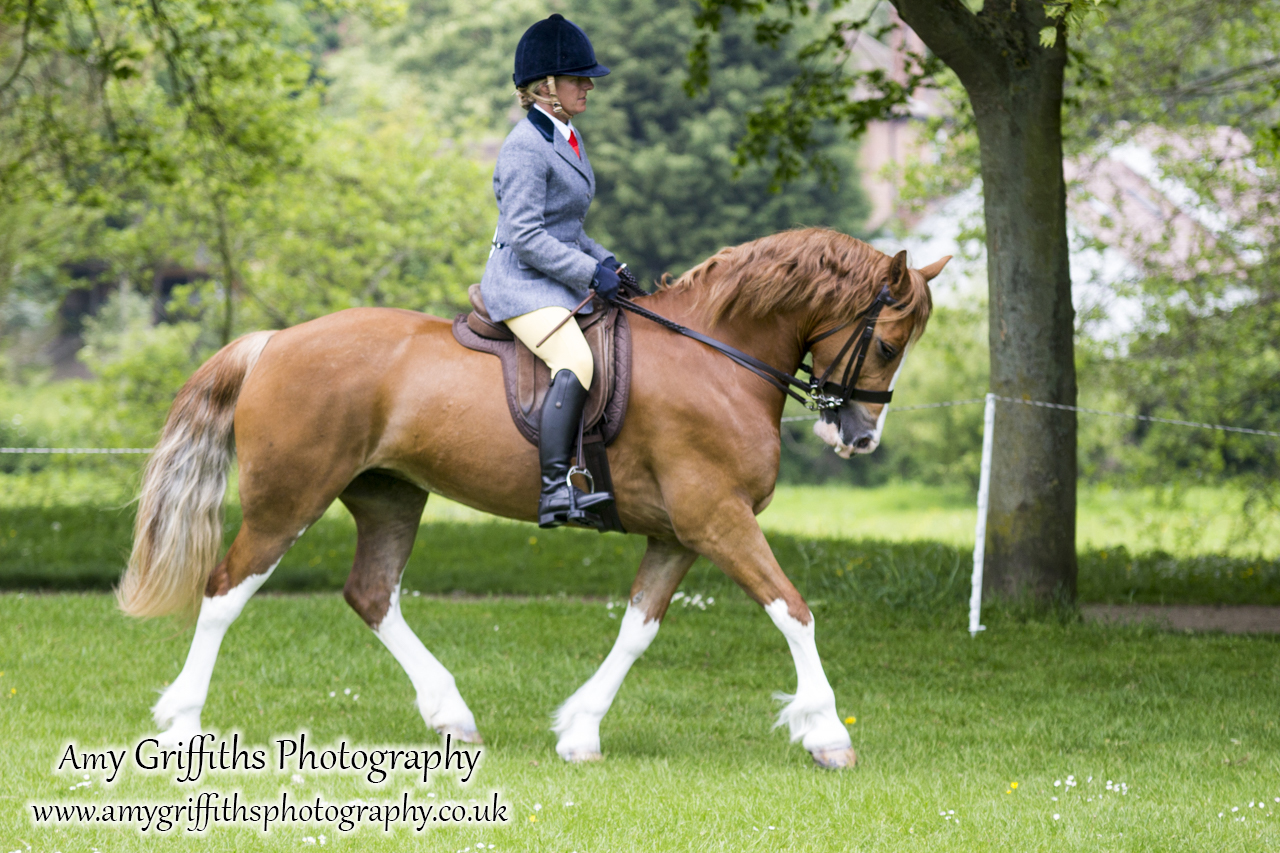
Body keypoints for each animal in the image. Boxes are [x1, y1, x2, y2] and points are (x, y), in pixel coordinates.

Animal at [120, 225, 952, 763]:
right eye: (886, 342)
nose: (860, 437)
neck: (716, 358)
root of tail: (275, 341)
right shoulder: (719, 519)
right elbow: (794, 609)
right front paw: (827, 731)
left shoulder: (680, 532)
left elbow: (638, 628)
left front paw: (580, 729)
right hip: (289, 497)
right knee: (225, 590)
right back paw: (181, 724)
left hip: (390, 496)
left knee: (371, 593)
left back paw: (452, 716)